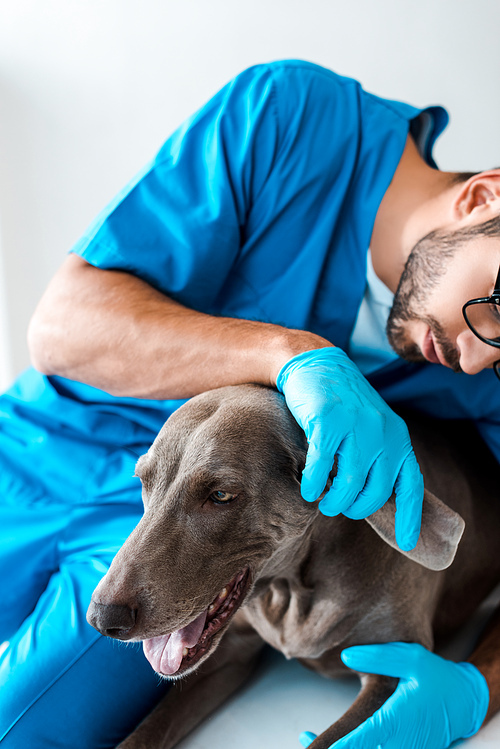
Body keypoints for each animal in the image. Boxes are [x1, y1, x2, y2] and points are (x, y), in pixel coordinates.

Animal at [86, 382, 500, 744]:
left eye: (220, 495)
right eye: (143, 480)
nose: (103, 619)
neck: (294, 589)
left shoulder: (397, 669)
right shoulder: (231, 650)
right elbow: (146, 730)